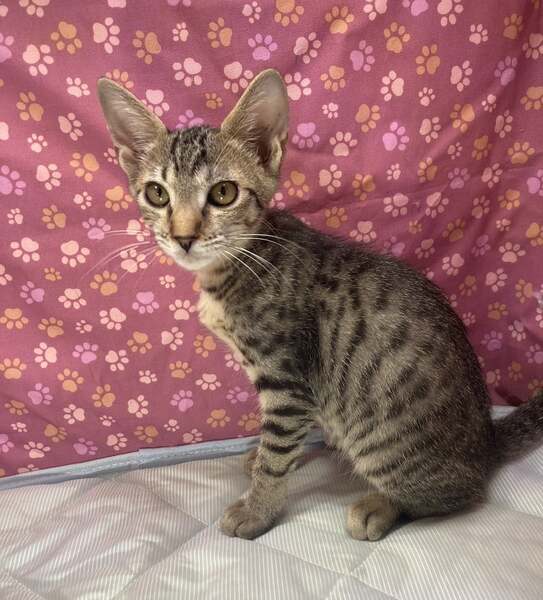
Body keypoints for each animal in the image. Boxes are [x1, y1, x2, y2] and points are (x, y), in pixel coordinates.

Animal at [97, 69, 543, 541]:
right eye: (157, 194)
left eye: (222, 193)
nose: (183, 237)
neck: (240, 262)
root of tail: (485, 441)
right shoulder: (296, 390)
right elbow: (278, 443)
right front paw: (259, 462)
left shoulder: (286, 379)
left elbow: (278, 455)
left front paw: (258, 509)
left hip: (385, 445)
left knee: (459, 494)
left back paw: (379, 507)